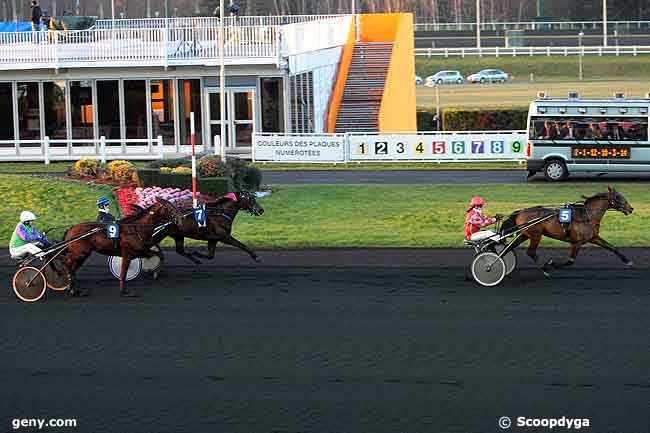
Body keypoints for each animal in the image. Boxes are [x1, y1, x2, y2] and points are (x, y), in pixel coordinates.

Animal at [498, 185, 632, 274]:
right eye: (618, 197)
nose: (631, 209)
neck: (587, 215)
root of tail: (521, 211)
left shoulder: (593, 237)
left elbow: (611, 247)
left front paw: (627, 260)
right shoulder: (577, 242)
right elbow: (571, 261)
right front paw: (551, 264)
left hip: (525, 234)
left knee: (508, 249)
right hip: (536, 235)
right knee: (530, 252)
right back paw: (545, 266)